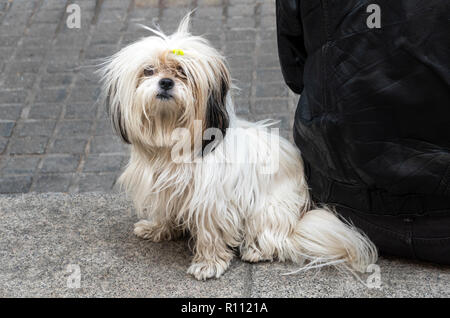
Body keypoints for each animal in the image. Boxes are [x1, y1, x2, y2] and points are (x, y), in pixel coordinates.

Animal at [100, 14, 378, 280]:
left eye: (183, 73)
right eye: (148, 71)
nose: (166, 82)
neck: (173, 142)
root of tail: (301, 214)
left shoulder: (211, 202)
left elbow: (210, 233)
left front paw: (208, 263)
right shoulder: (164, 188)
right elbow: (164, 211)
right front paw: (157, 228)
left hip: (268, 209)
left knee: (279, 240)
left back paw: (257, 250)